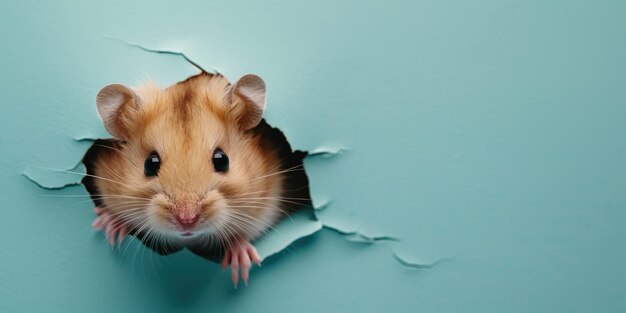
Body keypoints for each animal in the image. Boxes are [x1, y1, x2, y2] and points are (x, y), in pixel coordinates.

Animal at [81, 72, 308, 286]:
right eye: (150, 164)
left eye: (221, 160)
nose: (187, 221)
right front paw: (107, 225)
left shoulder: (268, 203)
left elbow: (244, 234)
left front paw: (241, 266)